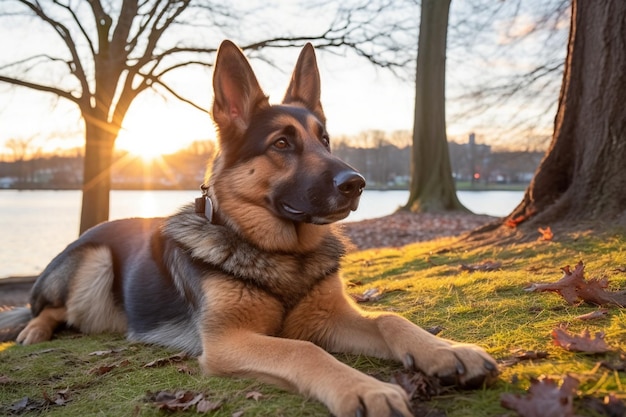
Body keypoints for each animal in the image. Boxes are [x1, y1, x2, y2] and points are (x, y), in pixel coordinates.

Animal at [1, 40, 498, 414]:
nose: (356, 183)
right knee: (47, 309)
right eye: (281, 144)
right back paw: (34, 330)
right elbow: (303, 349)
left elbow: (391, 318)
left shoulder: (330, 318)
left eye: (325, 141)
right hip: (96, 263)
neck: (283, 254)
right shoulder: (228, 341)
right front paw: (365, 388)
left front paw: (446, 351)